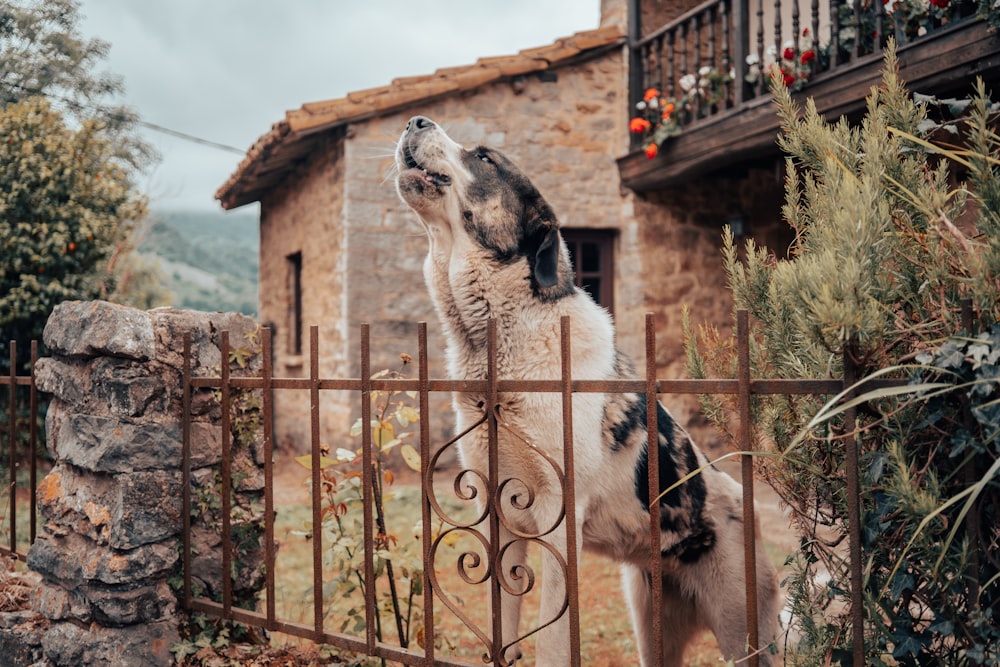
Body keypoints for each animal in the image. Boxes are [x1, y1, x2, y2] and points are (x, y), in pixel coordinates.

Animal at [392, 117, 780, 664]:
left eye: (485, 158)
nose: (416, 121)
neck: (499, 342)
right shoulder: (496, 518)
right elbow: (500, 627)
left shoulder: (559, 520)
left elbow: (551, 641)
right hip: (650, 626)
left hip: (743, 633)